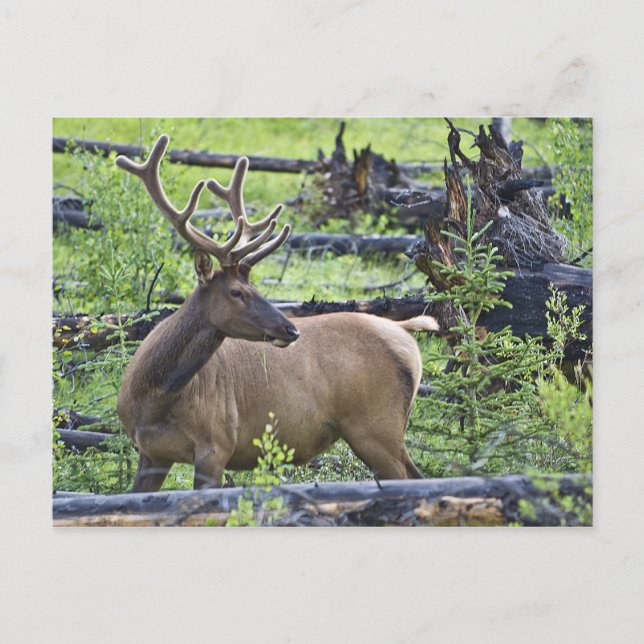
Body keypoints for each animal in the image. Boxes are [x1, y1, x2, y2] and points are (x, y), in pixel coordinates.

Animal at [115, 135, 439, 492]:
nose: (291, 329)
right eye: (238, 292)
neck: (155, 397)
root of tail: (406, 333)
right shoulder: (151, 452)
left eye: (254, 288)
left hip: (376, 426)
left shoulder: (217, 444)